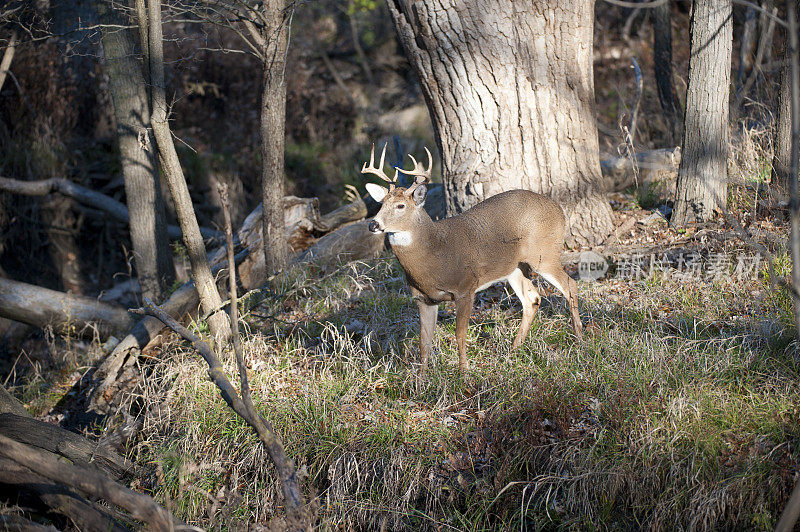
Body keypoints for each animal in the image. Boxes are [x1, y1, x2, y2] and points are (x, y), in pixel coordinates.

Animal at [360, 143, 580, 372]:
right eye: (381, 204)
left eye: (400, 206)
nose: (373, 224)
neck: (434, 254)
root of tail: (559, 209)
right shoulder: (423, 298)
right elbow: (424, 342)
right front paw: (421, 378)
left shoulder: (466, 287)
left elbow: (460, 334)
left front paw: (464, 372)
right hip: (514, 267)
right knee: (533, 299)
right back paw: (514, 350)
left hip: (544, 253)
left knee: (570, 285)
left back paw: (579, 341)